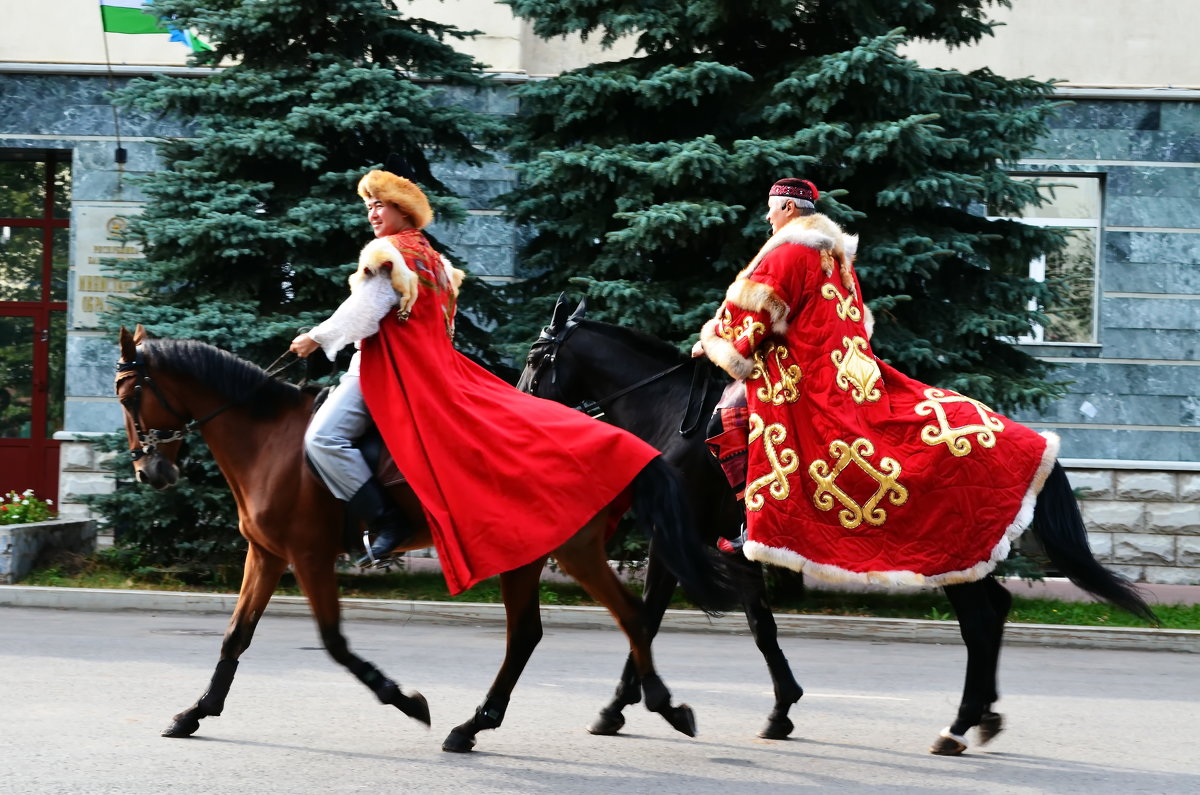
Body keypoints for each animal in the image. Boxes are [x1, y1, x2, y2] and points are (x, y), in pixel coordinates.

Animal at [114, 324, 729, 754]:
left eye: (127, 397)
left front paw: (405, 700)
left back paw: (653, 706)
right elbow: (235, 636)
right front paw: (195, 712)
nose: (150, 470)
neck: (271, 439)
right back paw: (486, 723)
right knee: (549, 631)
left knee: (617, 617)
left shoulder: (309, 557)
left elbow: (335, 643)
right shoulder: (265, 555)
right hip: (537, 553)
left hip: (566, 549)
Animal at [516, 295, 1152, 758]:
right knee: (993, 612)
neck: (675, 417)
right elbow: (760, 624)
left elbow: (645, 619)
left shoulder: (674, 539)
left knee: (981, 620)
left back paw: (956, 727)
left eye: (534, 358)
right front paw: (780, 710)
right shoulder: (735, 544)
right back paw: (984, 718)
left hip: (950, 550)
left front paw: (624, 709)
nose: (518, 402)